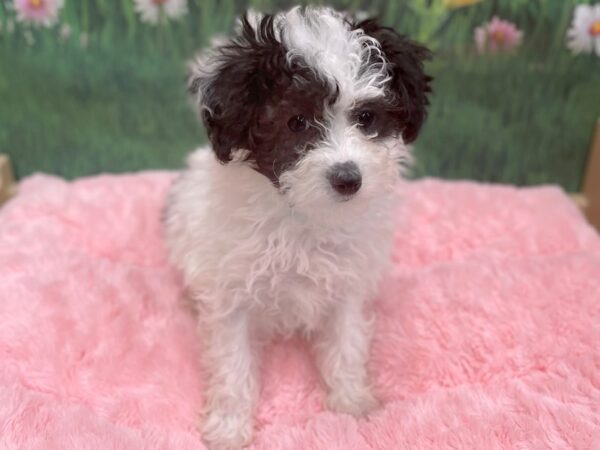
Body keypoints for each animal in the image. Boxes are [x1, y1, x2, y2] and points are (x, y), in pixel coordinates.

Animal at [164, 6, 432, 446]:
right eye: (296, 122)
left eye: (366, 118)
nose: (348, 178)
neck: (305, 214)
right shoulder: (231, 289)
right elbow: (232, 362)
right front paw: (229, 428)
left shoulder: (347, 282)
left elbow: (347, 342)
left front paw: (353, 404)